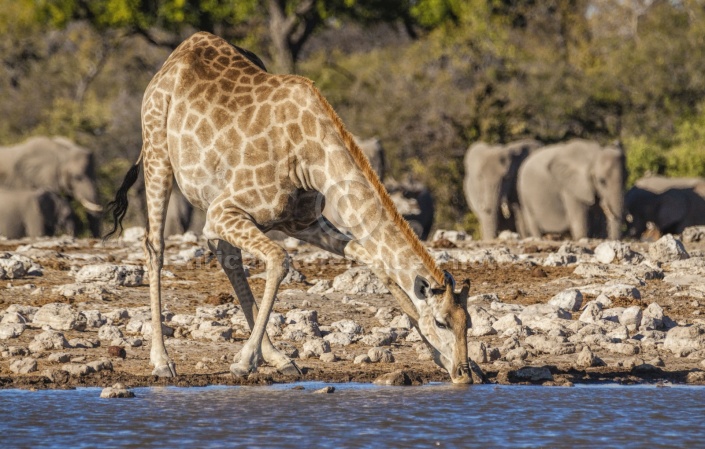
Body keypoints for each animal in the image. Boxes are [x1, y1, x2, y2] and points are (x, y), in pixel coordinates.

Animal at [107, 30, 472, 382]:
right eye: (441, 322)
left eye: (467, 322)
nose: (463, 373)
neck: (310, 157)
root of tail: (177, 56)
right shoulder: (225, 210)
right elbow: (280, 259)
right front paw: (243, 362)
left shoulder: (303, 222)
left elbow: (375, 260)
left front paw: (442, 358)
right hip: (158, 153)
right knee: (155, 246)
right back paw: (163, 361)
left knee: (226, 255)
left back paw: (279, 358)